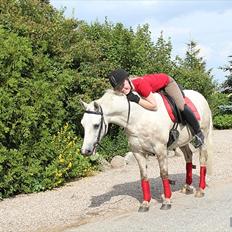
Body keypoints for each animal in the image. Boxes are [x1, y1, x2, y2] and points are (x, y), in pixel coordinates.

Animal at [80, 89, 212, 211]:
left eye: (96, 125)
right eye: (82, 124)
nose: (85, 151)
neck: (139, 117)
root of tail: (201, 96)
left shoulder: (160, 150)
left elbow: (164, 174)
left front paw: (167, 201)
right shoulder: (138, 153)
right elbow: (143, 176)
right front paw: (145, 203)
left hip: (203, 138)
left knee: (202, 160)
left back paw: (200, 189)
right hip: (182, 142)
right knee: (188, 157)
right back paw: (187, 186)